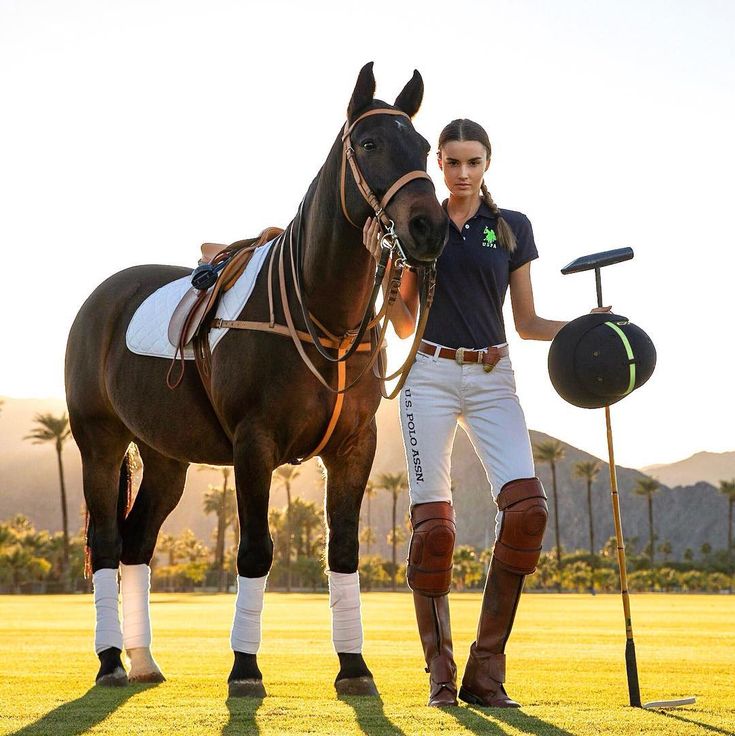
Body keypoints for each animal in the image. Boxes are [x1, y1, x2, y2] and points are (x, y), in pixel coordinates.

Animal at [64, 63, 448, 696]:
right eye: (370, 143)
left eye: (422, 147)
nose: (428, 228)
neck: (322, 315)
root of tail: (100, 298)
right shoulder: (254, 443)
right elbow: (254, 551)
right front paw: (244, 668)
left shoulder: (354, 445)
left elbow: (343, 552)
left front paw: (354, 666)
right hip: (100, 441)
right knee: (107, 542)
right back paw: (112, 659)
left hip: (166, 456)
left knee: (139, 542)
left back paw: (143, 659)